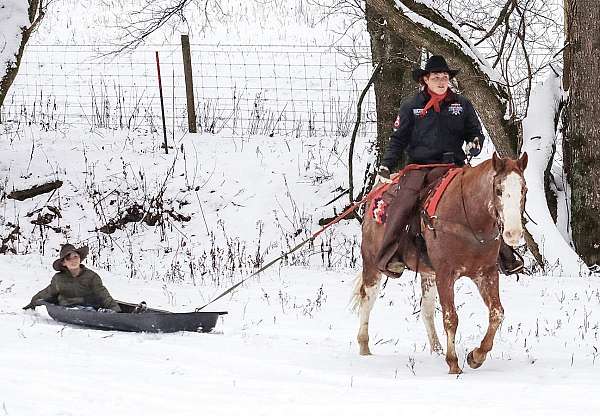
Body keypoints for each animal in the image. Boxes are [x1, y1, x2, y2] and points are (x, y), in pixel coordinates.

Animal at [352, 153, 528, 374]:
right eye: (499, 190)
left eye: (524, 190)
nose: (513, 234)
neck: (469, 219)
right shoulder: (446, 274)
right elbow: (451, 318)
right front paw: (453, 363)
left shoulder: (486, 273)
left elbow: (497, 313)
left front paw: (476, 356)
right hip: (372, 264)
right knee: (367, 298)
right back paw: (364, 346)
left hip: (428, 274)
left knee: (426, 310)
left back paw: (436, 350)